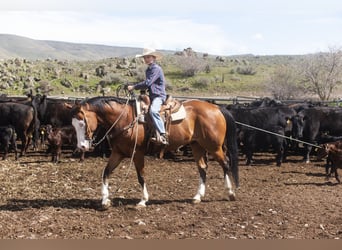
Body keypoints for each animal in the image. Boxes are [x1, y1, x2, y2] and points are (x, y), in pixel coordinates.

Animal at [71, 96, 239, 209]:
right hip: (197, 145)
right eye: (73, 124)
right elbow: (105, 172)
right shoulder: (118, 153)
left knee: (225, 163)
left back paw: (231, 193)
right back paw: (197, 197)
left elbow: (141, 176)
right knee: (202, 168)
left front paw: (143, 200)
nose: (82, 146)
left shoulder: (137, 154)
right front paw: (105, 200)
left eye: (82, 123)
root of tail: (217, 108)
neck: (125, 118)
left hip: (214, 146)